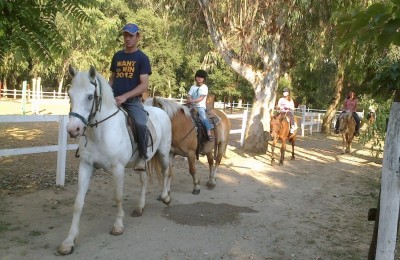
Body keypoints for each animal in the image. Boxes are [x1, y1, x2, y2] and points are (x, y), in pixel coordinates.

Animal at [57, 66, 172, 255]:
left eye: (90, 96)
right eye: (70, 94)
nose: (73, 129)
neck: (101, 132)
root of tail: (161, 111)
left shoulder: (118, 168)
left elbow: (118, 196)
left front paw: (118, 225)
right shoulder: (86, 167)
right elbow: (78, 203)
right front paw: (69, 241)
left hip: (163, 153)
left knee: (166, 172)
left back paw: (166, 197)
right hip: (141, 162)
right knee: (144, 181)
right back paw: (140, 207)